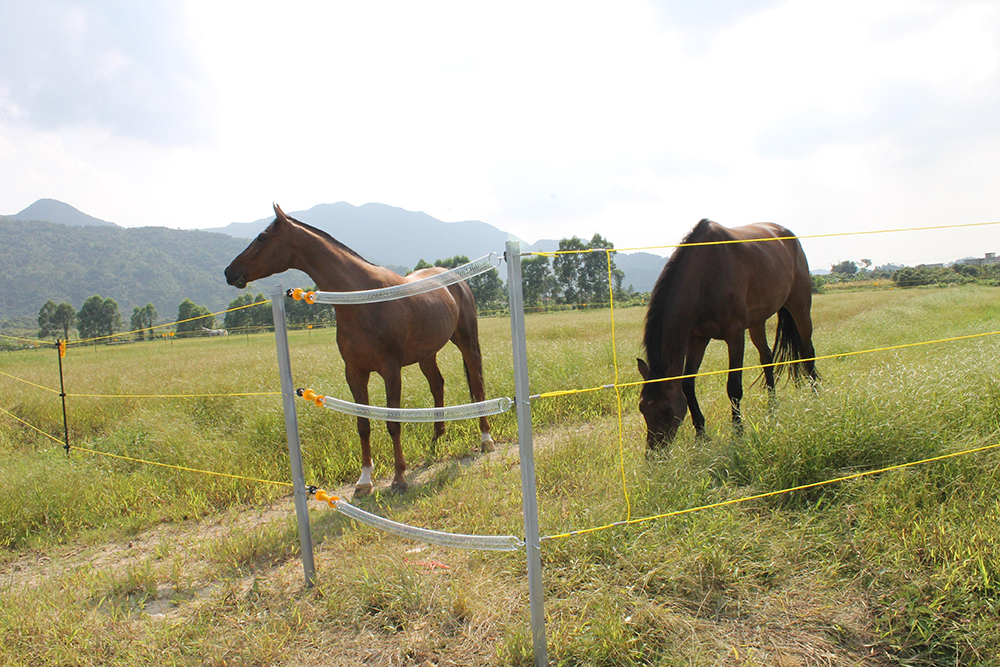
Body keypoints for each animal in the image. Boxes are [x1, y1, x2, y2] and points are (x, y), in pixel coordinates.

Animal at [225, 204, 494, 496]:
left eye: (263, 237)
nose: (229, 271)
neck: (362, 299)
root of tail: (456, 278)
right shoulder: (355, 373)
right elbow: (363, 425)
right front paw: (364, 480)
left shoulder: (391, 371)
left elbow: (392, 423)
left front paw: (399, 478)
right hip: (427, 354)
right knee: (437, 385)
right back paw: (435, 439)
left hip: (466, 341)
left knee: (476, 382)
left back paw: (486, 438)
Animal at [636, 219, 816, 448]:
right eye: (642, 408)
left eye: (668, 411)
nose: (653, 453)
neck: (706, 274)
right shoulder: (697, 339)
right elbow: (687, 384)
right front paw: (701, 435)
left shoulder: (735, 335)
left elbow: (734, 387)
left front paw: (737, 434)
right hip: (757, 322)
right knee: (767, 359)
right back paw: (772, 410)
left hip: (800, 305)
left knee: (808, 350)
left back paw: (817, 397)